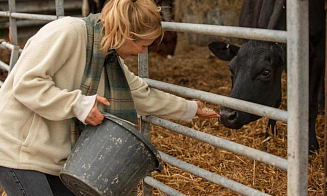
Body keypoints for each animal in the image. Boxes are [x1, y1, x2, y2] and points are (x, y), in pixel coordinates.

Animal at [209, 0, 326, 153]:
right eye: (231, 69)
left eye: (265, 72)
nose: (225, 115)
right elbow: (276, 100)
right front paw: (269, 137)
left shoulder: (317, 52)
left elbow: (310, 103)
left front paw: (311, 145)